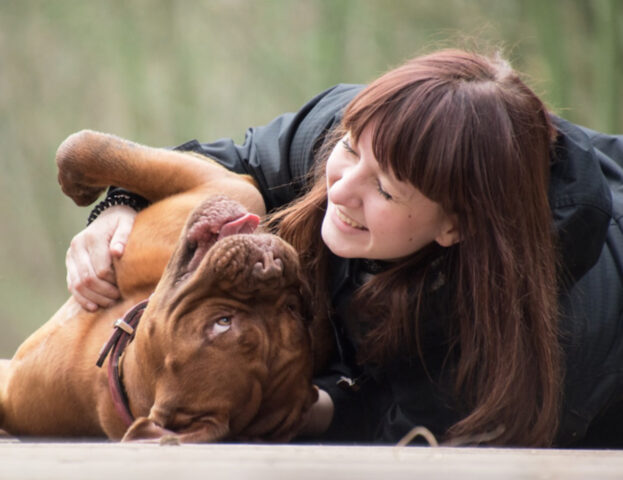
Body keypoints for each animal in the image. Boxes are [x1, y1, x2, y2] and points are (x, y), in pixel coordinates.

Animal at [0, 128, 320, 442]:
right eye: (292, 309)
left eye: (222, 322)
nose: (270, 268)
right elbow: (89, 148)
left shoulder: (223, 182)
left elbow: (80, 146)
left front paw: (77, 188)